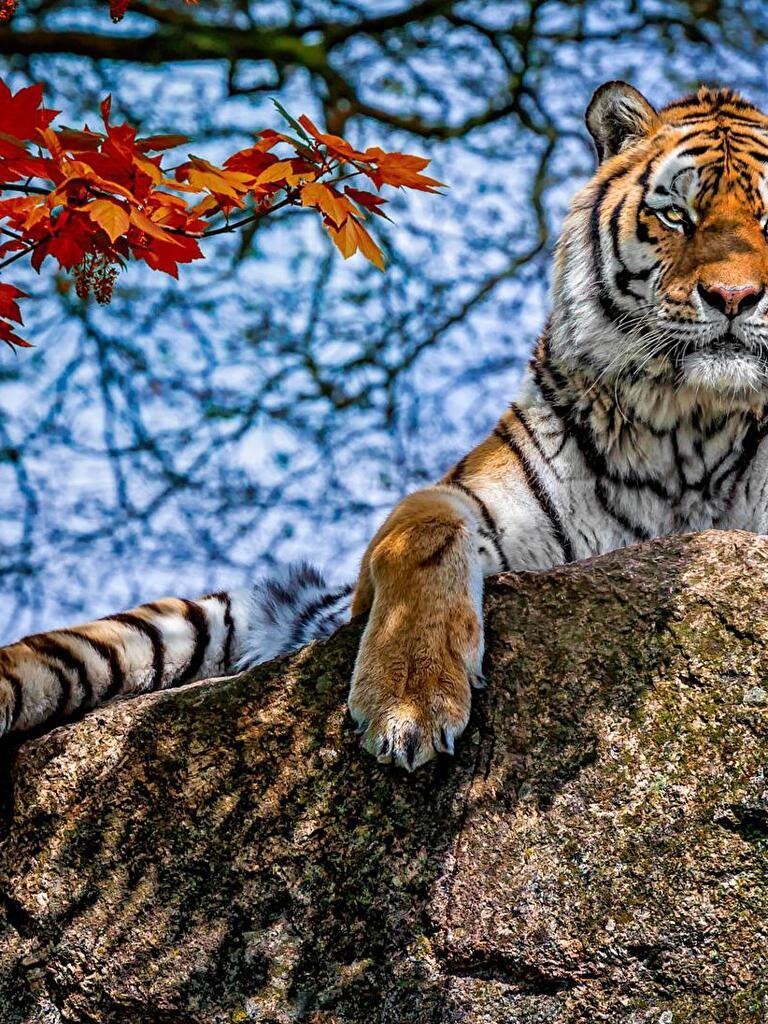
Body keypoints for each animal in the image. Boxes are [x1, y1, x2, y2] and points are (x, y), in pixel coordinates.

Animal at [4, 80, 768, 772]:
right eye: (677, 215)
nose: (734, 297)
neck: (690, 427)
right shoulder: (459, 504)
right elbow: (426, 539)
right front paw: (410, 703)